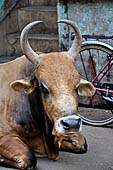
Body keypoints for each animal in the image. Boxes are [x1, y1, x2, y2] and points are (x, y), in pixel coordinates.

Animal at [0, 19, 95, 169]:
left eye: (76, 85)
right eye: (42, 86)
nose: (72, 124)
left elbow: (82, 144)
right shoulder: (4, 136)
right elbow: (29, 159)